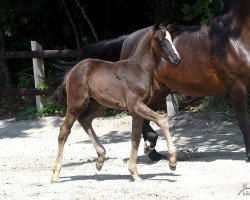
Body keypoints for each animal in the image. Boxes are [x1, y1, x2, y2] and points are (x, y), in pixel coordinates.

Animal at [50, 23, 181, 183]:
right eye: (161, 40)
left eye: (170, 38)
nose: (177, 59)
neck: (138, 71)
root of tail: (72, 71)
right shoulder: (135, 106)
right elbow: (162, 121)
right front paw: (172, 162)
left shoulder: (136, 111)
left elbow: (135, 138)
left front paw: (135, 173)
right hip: (76, 104)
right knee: (64, 130)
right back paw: (55, 174)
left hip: (99, 104)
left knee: (85, 120)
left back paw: (100, 160)